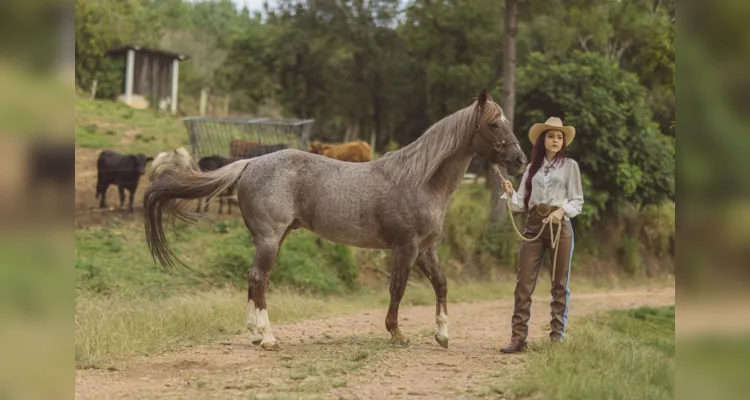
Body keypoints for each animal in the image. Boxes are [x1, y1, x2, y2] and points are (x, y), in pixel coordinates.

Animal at [144, 90, 524, 350]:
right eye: (494, 124)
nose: (520, 160)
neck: (419, 179)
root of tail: (249, 163)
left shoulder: (427, 248)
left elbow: (442, 284)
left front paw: (442, 333)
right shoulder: (406, 246)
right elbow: (398, 288)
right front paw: (396, 333)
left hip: (273, 239)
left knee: (253, 280)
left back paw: (255, 335)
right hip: (269, 239)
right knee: (259, 278)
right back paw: (268, 338)